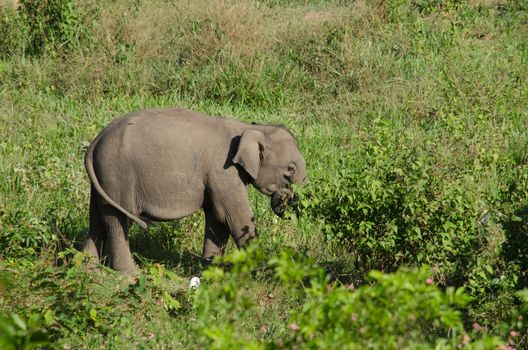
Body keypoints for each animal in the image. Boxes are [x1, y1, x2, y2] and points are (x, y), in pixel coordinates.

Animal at [80, 106, 308, 274]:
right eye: (290, 169)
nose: (286, 196)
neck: (247, 127)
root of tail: (94, 143)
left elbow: (217, 219)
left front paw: (211, 272)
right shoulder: (223, 171)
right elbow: (235, 217)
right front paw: (264, 271)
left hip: (103, 179)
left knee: (97, 219)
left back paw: (89, 271)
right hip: (118, 175)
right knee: (117, 221)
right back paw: (130, 275)